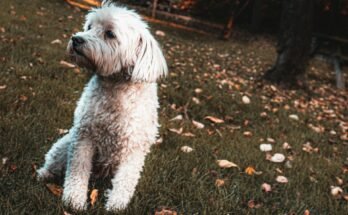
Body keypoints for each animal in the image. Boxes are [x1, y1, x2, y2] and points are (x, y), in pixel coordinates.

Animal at [37, 0, 168, 211]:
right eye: (89, 27)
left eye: (110, 34)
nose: (76, 39)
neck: (115, 89)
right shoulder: (84, 137)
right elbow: (78, 170)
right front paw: (74, 200)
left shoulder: (134, 148)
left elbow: (126, 180)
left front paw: (116, 204)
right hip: (65, 144)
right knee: (54, 161)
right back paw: (44, 174)